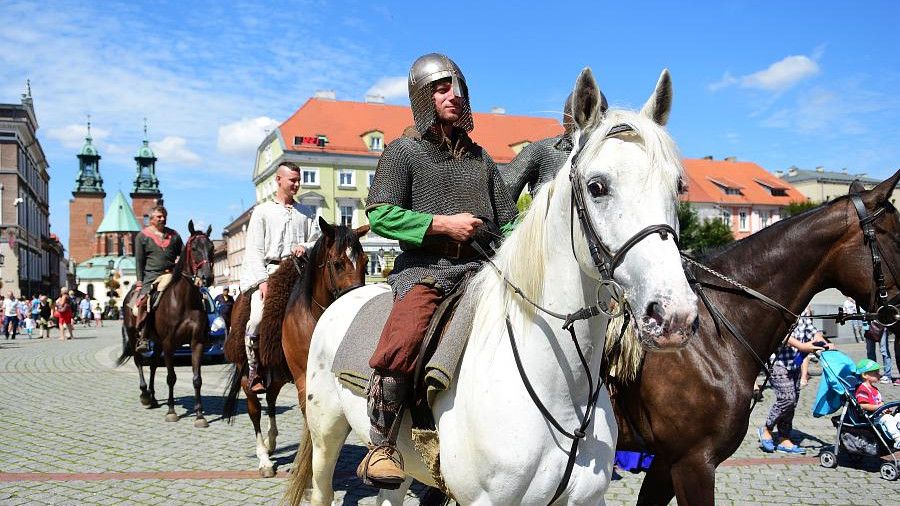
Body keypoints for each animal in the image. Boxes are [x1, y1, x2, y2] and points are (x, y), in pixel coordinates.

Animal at [118, 221, 214, 426]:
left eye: (211, 248)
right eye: (194, 248)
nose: (207, 277)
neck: (184, 300)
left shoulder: (197, 342)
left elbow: (197, 379)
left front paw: (199, 415)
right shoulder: (170, 343)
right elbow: (171, 377)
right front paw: (171, 411)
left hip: (157, 342)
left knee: (154, 365)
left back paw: (153, 397)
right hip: (135, 336)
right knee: (139, 362)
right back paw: (145, 395)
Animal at [223, 219, 368, 476]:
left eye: (366, 262)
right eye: (338, 263)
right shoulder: (304, 380)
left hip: (277, 374)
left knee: (271, 400)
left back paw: (271, 441)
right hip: (248, 376)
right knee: (255, 410)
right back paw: (264, 458)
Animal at [284, 68, 700, 506]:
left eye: (677, 186)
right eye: (597, 186)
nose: (673, 314)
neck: (560, 388)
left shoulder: (586, 499)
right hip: (326, 433)